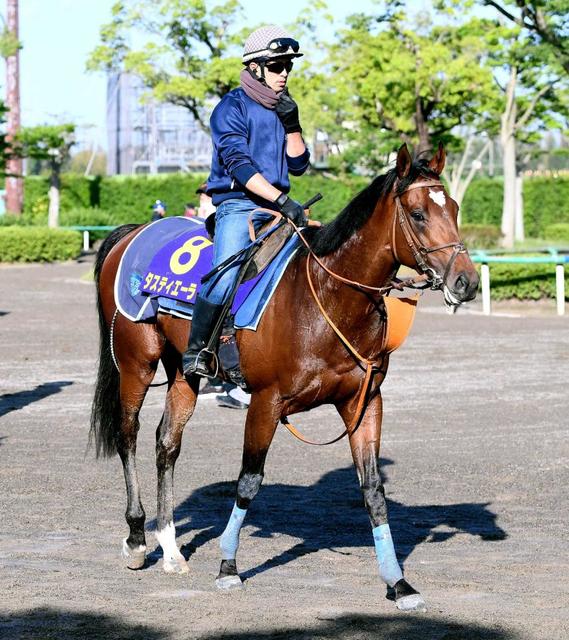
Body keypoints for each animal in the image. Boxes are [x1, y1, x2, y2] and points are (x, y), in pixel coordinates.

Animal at [89, 143, 479, 612]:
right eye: (418, 213)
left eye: (454, 208)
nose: (467, 280)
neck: (326, 298)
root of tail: (132, 232)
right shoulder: (266, 401)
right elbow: (248, 482)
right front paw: (228, 567)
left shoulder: (364, 402)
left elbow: (372, 490)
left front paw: (398, 583)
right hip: (137, 362)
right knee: (127, 433)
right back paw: (136, 538)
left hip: (183, 370)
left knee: (167, 443)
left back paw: (169, 547)